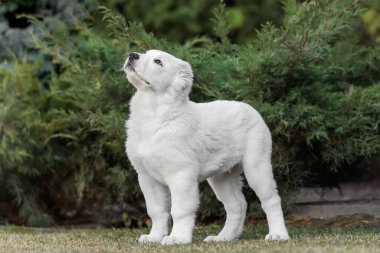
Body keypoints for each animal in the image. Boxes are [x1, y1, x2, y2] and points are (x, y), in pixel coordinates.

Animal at [124, 49, 288, 245]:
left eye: (158, 62)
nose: (132, 55)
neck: (155, 115)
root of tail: (250, 108)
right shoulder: (147, 177)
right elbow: (157, 211)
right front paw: (154, 237)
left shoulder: (181, 174)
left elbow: (180, 210)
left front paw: (178, 238)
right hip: (222, 176)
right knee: (237, 205)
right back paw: (224, 238)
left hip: (257, 165)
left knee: (271, 200)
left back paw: (278, 235)